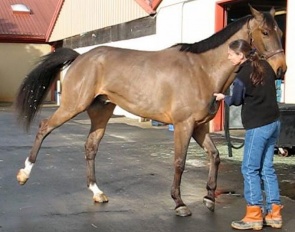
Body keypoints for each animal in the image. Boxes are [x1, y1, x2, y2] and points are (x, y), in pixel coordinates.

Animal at [14, 5, 286, 218]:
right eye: (265, 32)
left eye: (281, 32)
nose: (281, 70)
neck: (202, 70)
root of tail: (81, 57)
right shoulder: (184, 125)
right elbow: (179, 162)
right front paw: (179, 203)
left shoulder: (199, 127)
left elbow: (215, 155)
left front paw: (209, 198)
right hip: (73, 106)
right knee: (44, 128)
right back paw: (24, 174)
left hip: (101, 113)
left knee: (90, 147)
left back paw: (97, 192)